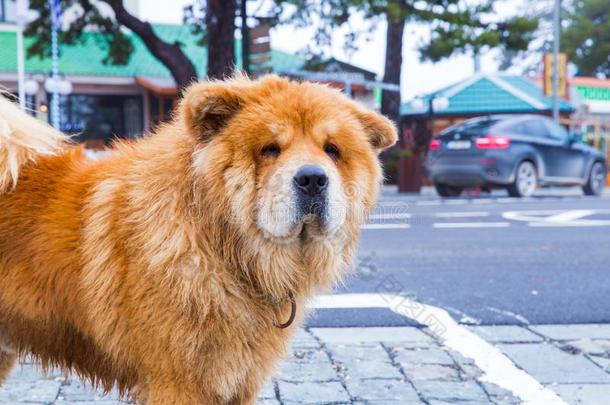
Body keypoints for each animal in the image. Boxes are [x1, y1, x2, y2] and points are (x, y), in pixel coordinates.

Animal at [0, 75, 396, 400]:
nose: (313, 178)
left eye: (332, 150)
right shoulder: (178, 382)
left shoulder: (239, 380)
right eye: (269, 149)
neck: (227, 254)